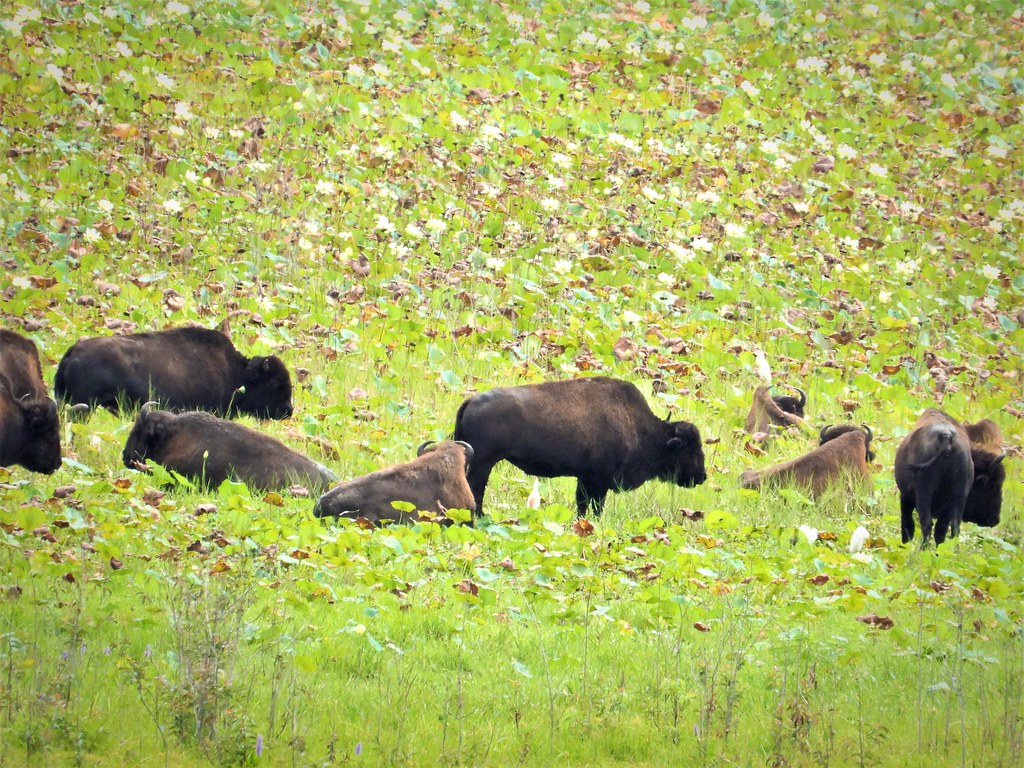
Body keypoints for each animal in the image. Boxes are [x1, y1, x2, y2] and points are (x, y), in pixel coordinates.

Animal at [452, 377, 706, 517]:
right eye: (691, 449)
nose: (702, 476)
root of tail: (471, 401)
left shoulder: (585, 478)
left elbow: (583, 504)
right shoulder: (598, 480)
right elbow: (594, 505)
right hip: (483, 463)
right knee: (476, 489)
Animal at [894, 408, 1006, 545]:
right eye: (990, 484)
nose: (995, 520)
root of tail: (946, 435)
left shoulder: (906, 498)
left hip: (923, 495)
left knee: (926, 524)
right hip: (957, 498)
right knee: (953, 528)